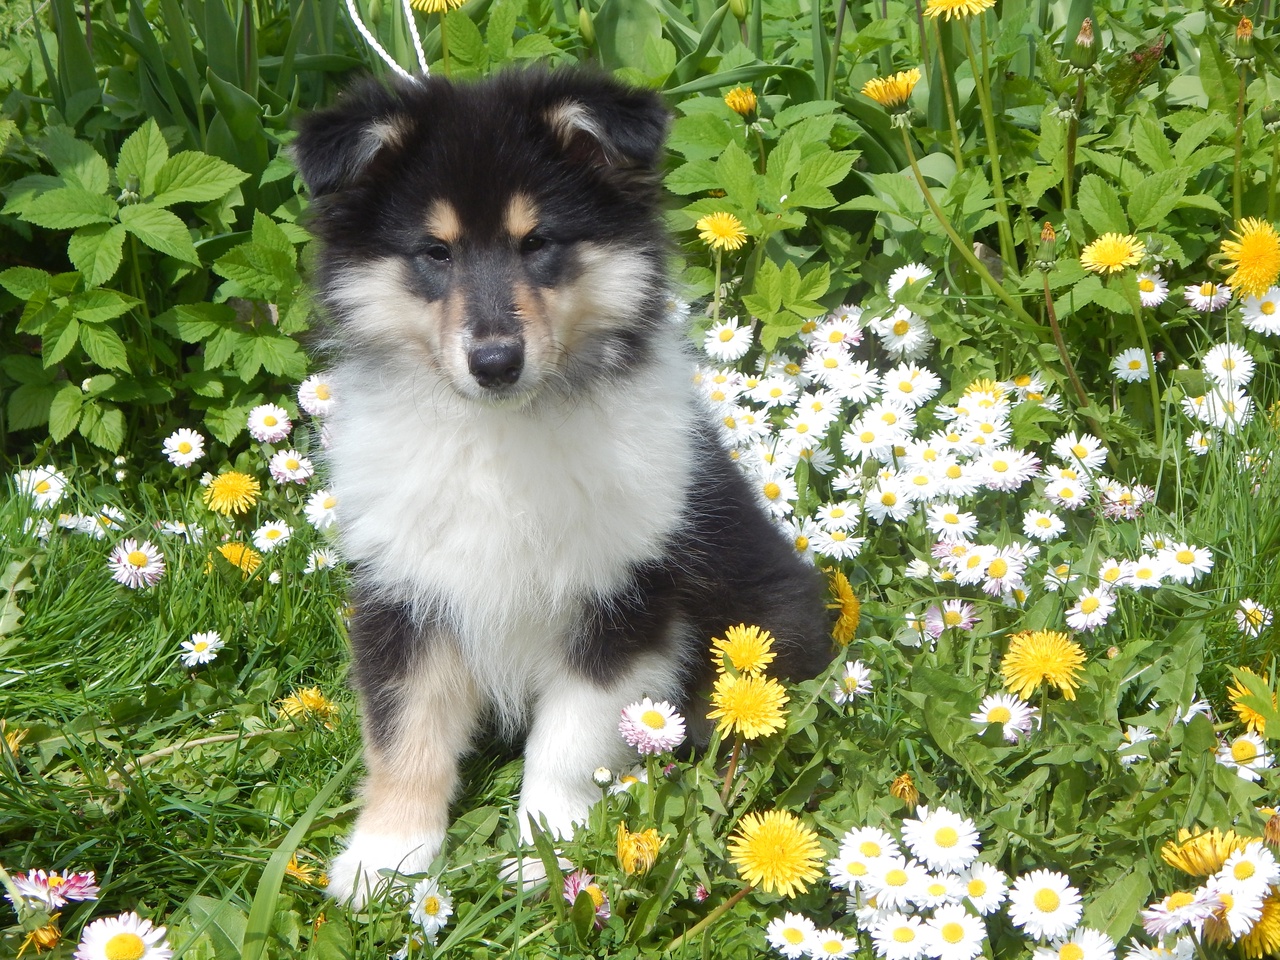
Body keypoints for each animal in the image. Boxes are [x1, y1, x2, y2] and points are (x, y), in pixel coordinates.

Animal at [293, 69, 829, 911]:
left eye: (538, 243)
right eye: (434, 252)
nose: (495, 362)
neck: (502, 436)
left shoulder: (623, 600)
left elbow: (571, 741)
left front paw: (546, 853)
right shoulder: (405, 593)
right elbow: (404, 733)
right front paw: (387, 862)